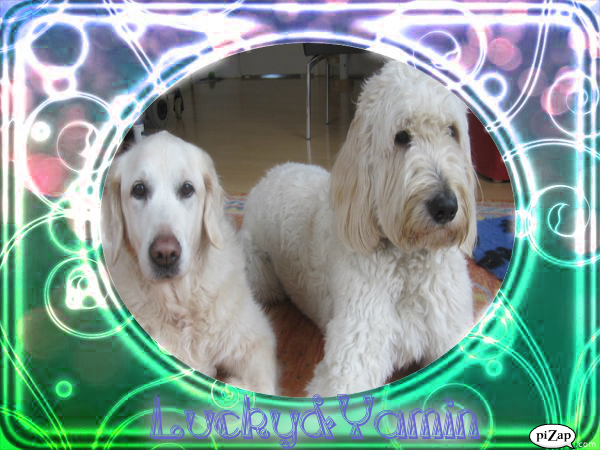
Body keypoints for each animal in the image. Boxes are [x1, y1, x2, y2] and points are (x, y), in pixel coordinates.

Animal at [101, 131, 278, 395]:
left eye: (187, 189)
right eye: (139, 190)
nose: (165, 254)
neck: (181, 302)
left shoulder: (256, 340)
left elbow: (262, 385)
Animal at [242, 61, 477, 396]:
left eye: (452, 131)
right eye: (401, 136)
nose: (445, 206)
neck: (409, 262)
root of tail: (269, 174)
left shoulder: (452, 329)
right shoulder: (354, 356)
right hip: (259, 275)